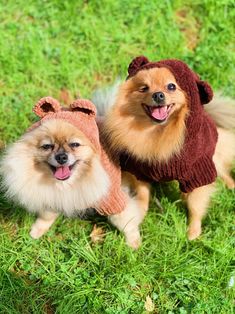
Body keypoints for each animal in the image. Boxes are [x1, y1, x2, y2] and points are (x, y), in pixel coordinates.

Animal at [0, 95, 147, 248]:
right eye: (47, 146)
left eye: (74, 144)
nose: (61, 157)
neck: (71, 183)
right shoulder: (52, 196)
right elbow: (46, 215)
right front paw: (37, 231)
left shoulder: (112, 199)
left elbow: (125, 220)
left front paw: (134, 244)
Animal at [93, 55, 235, 240]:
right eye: (144, 88)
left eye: (171, 86)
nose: (158, 95)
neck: (159, 133)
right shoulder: (140, 171)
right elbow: (143, 194)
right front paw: (140, 211)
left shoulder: (196, 173)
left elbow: (195, 205)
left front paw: (193, 232)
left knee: (221, 168)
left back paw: (230, 184)